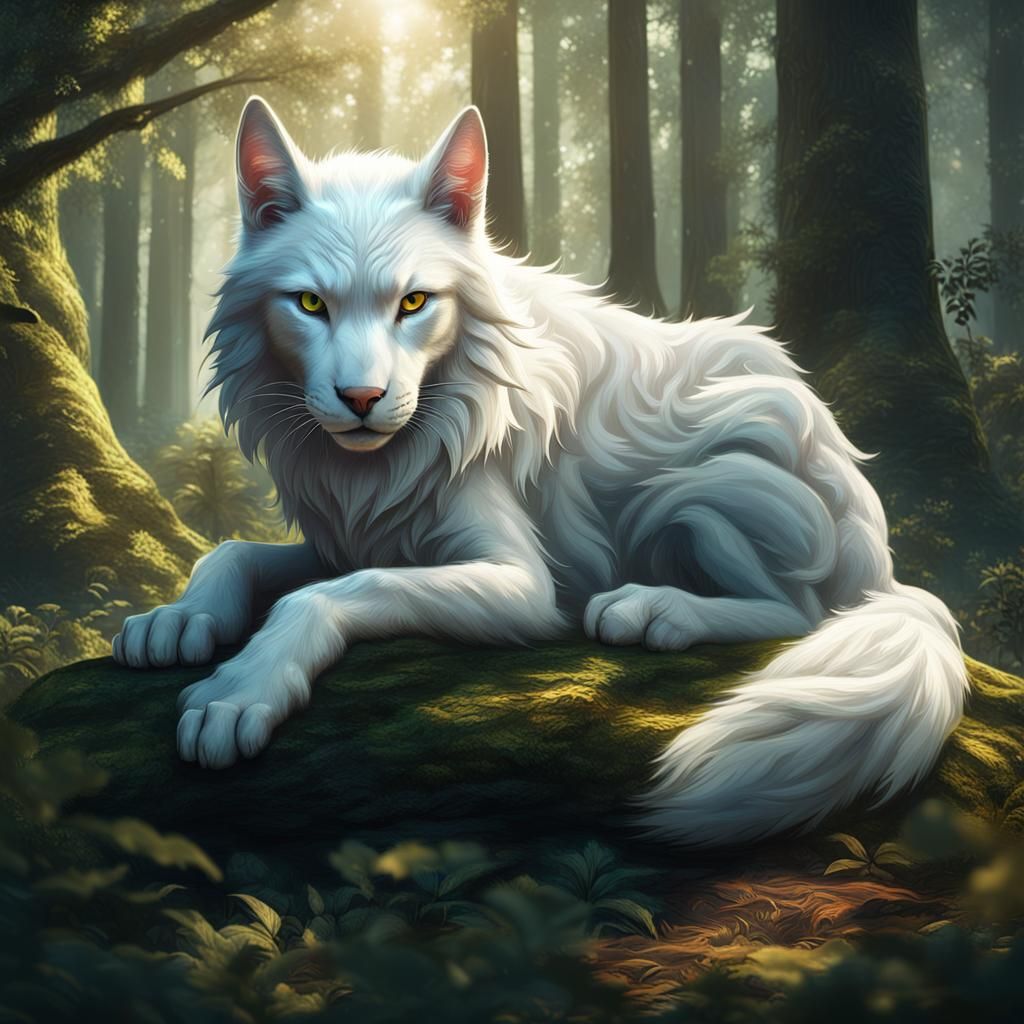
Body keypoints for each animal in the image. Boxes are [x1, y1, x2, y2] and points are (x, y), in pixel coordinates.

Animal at [113, 98, 967, 846]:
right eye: (311, 304)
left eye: (414, 303)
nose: (361, 400)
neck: (382, 463)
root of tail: (884, 564)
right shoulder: (346, 535)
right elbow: (235, 553)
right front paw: (177, 619)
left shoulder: (521, 586)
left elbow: (328, 596)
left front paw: (238, 691)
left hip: (696, 485)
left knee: (799, 612)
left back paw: (653, 609)